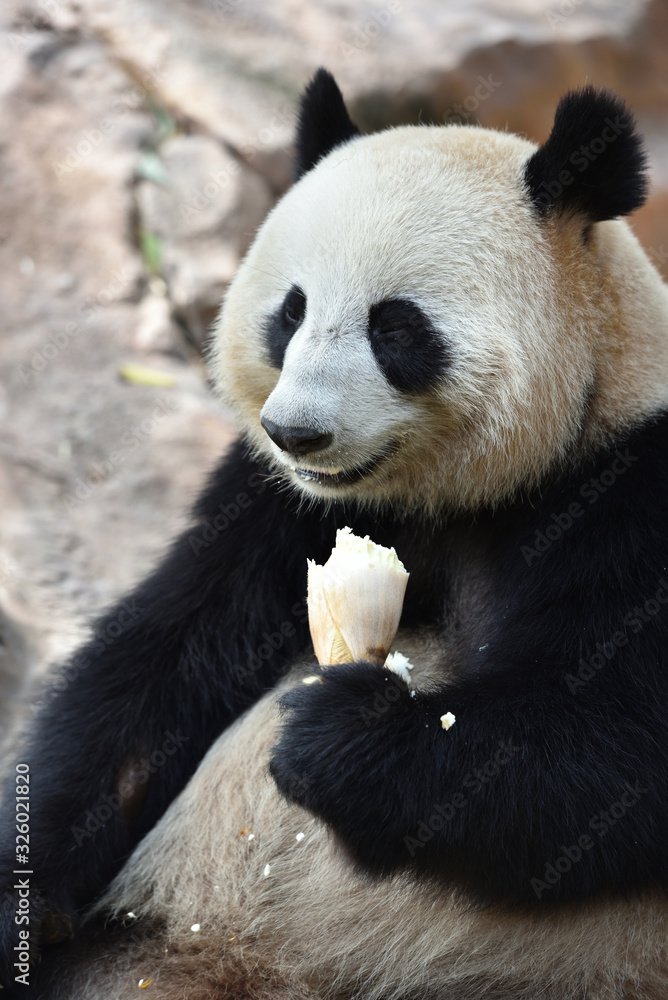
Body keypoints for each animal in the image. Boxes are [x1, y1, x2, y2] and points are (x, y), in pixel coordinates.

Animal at [2, 68, 668, 999]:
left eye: (396, 326)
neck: (449, 492)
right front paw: (25, 901)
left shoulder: (630, 491)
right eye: (291, 311)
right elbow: (156, 665)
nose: (299, 434)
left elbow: (610, 745)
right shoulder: (276, 503)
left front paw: (339, 734)